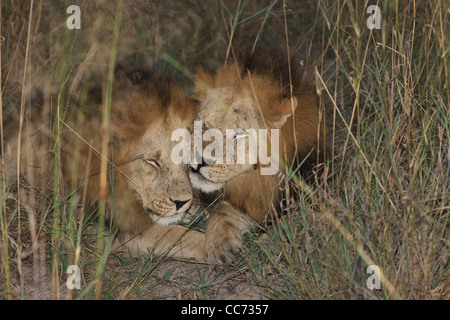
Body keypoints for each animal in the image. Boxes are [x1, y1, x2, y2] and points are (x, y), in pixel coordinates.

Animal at [188, 47, 328, 262]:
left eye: (238, 135)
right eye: (204, 125)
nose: (199, 161)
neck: (259, 176)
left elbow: (296, 218)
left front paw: (272, 243)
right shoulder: (251, 199)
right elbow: (223, 210)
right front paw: (219, 244)